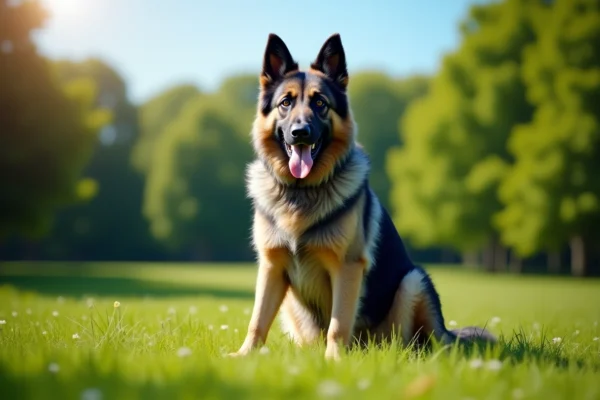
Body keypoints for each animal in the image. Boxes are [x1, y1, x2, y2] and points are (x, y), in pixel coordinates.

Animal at [231, 32, 496, 360]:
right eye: (285, 103)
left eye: (320, 103)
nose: (300, 132)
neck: (301, 191)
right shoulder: (271, 268)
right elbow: (256, 321)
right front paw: (244, 356)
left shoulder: (346, 267)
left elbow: (338, 324)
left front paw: (333, 362)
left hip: (413, 282)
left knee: (421, 343)